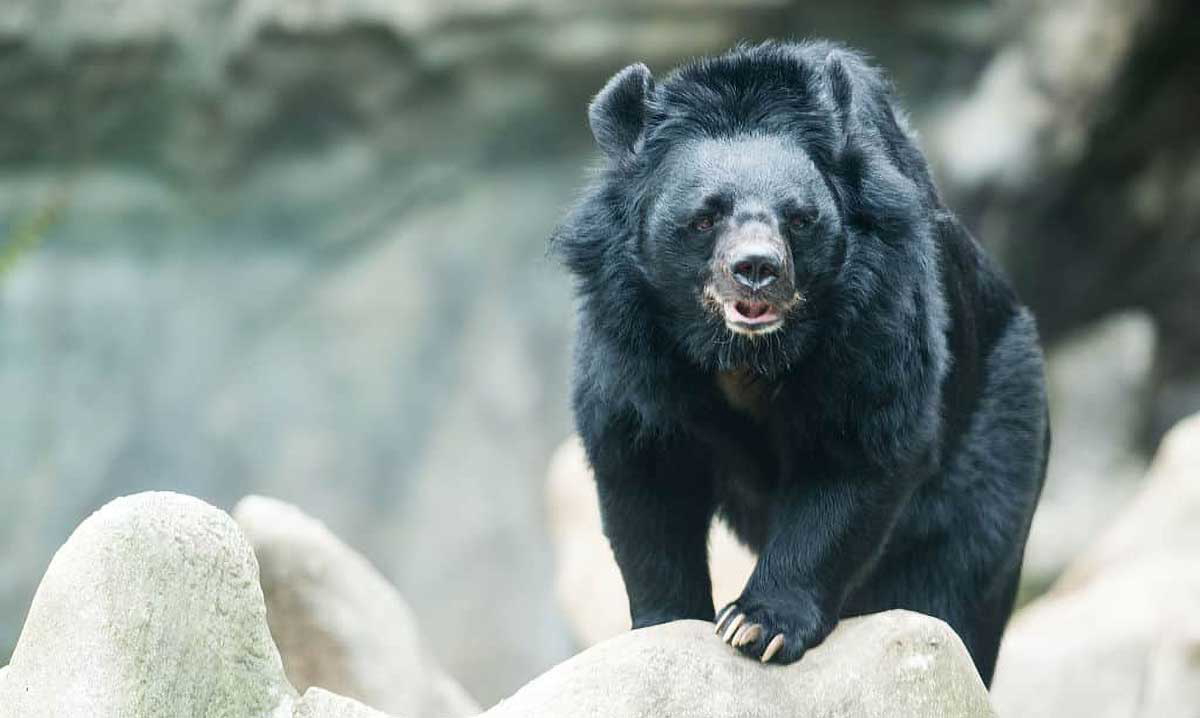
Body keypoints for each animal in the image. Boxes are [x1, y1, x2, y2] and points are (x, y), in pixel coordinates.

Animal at [551, 40, 1049, 686]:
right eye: (705, 217)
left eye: (799, 217)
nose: (757, 268)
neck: (744, 351)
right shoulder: (628, 335)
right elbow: (642, 464)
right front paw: (664, 624)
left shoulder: (878, 309)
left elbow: (858, 449)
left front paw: (757, 625)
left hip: (998, 436)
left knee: (957, 570)